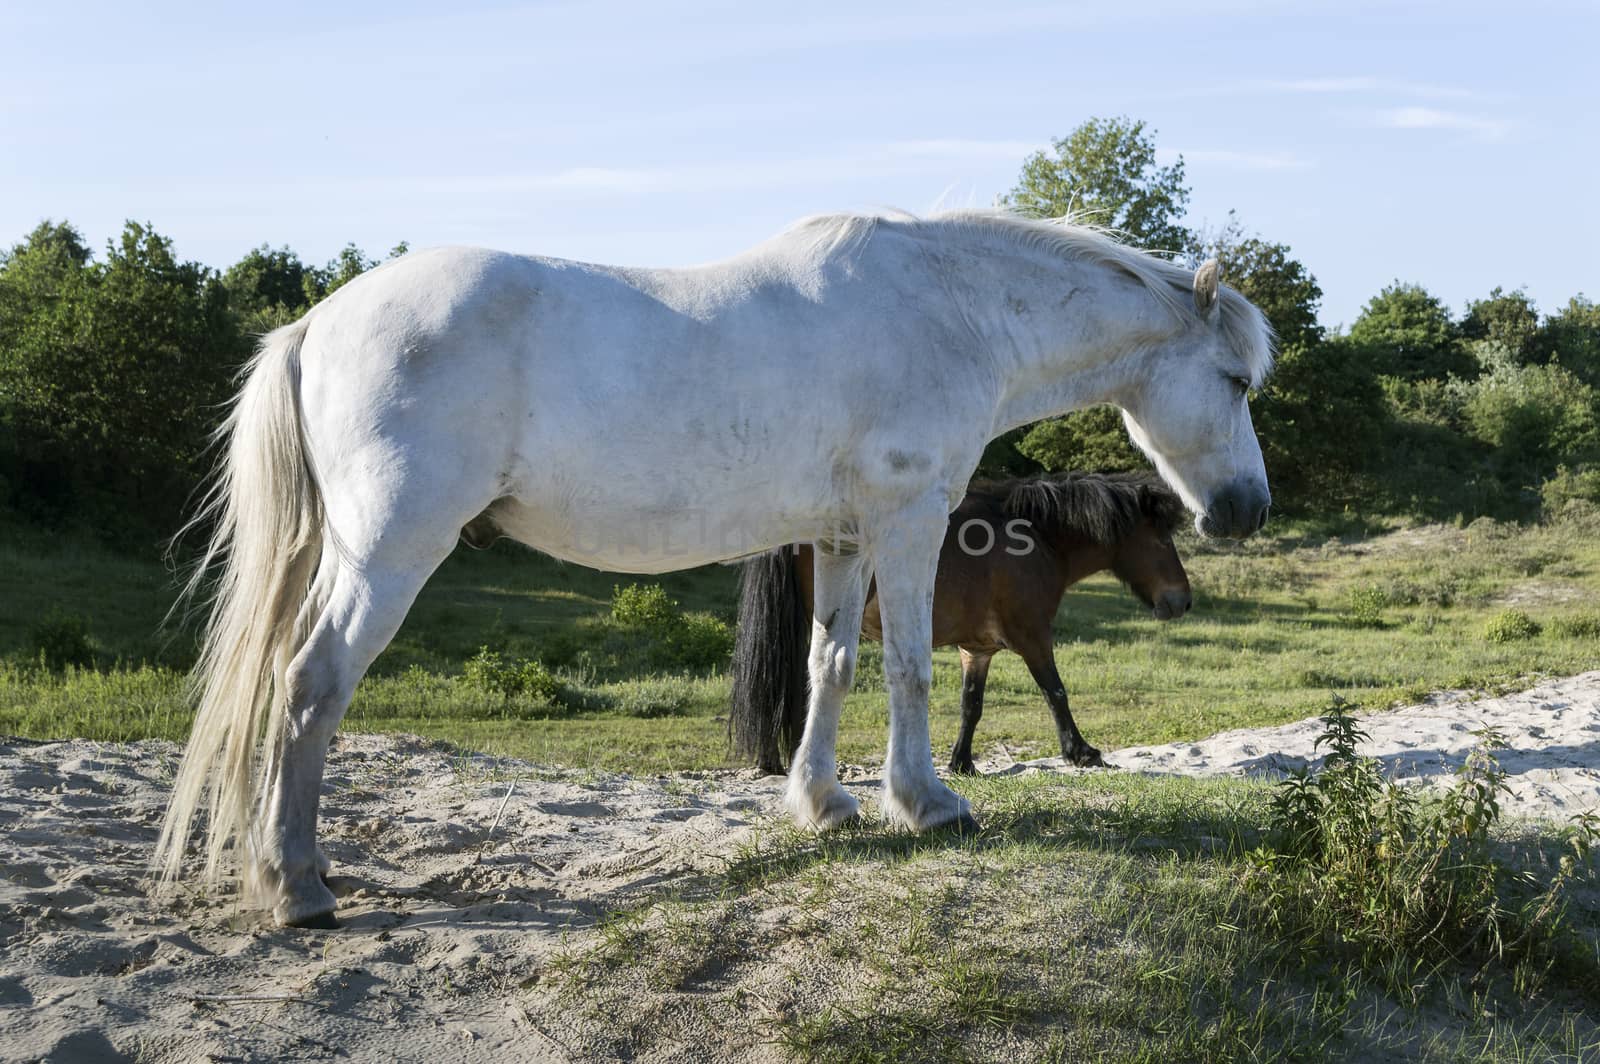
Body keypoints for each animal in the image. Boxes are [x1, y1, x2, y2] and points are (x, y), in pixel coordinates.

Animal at [732, 470, 1196, 777]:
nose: (1182, 601)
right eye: (1162, 539)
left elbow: (971, 705)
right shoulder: (1033, 636)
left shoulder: (977, 649)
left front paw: (962, 763)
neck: (1036, 536)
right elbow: (1056, 692)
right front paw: (1080, 751)